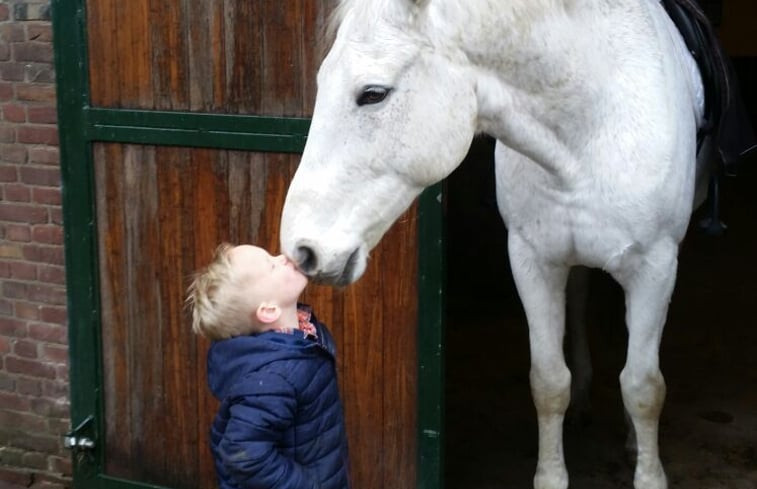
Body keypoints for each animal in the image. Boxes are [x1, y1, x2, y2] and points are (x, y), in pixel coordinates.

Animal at [280, 0, 708, 488]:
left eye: (373, 94)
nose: (301, 249)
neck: (591, 122)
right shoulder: (532, 261)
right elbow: (548, 382)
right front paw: (551, 476)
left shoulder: (656, 266)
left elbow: (643, 387)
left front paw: (649, 474)